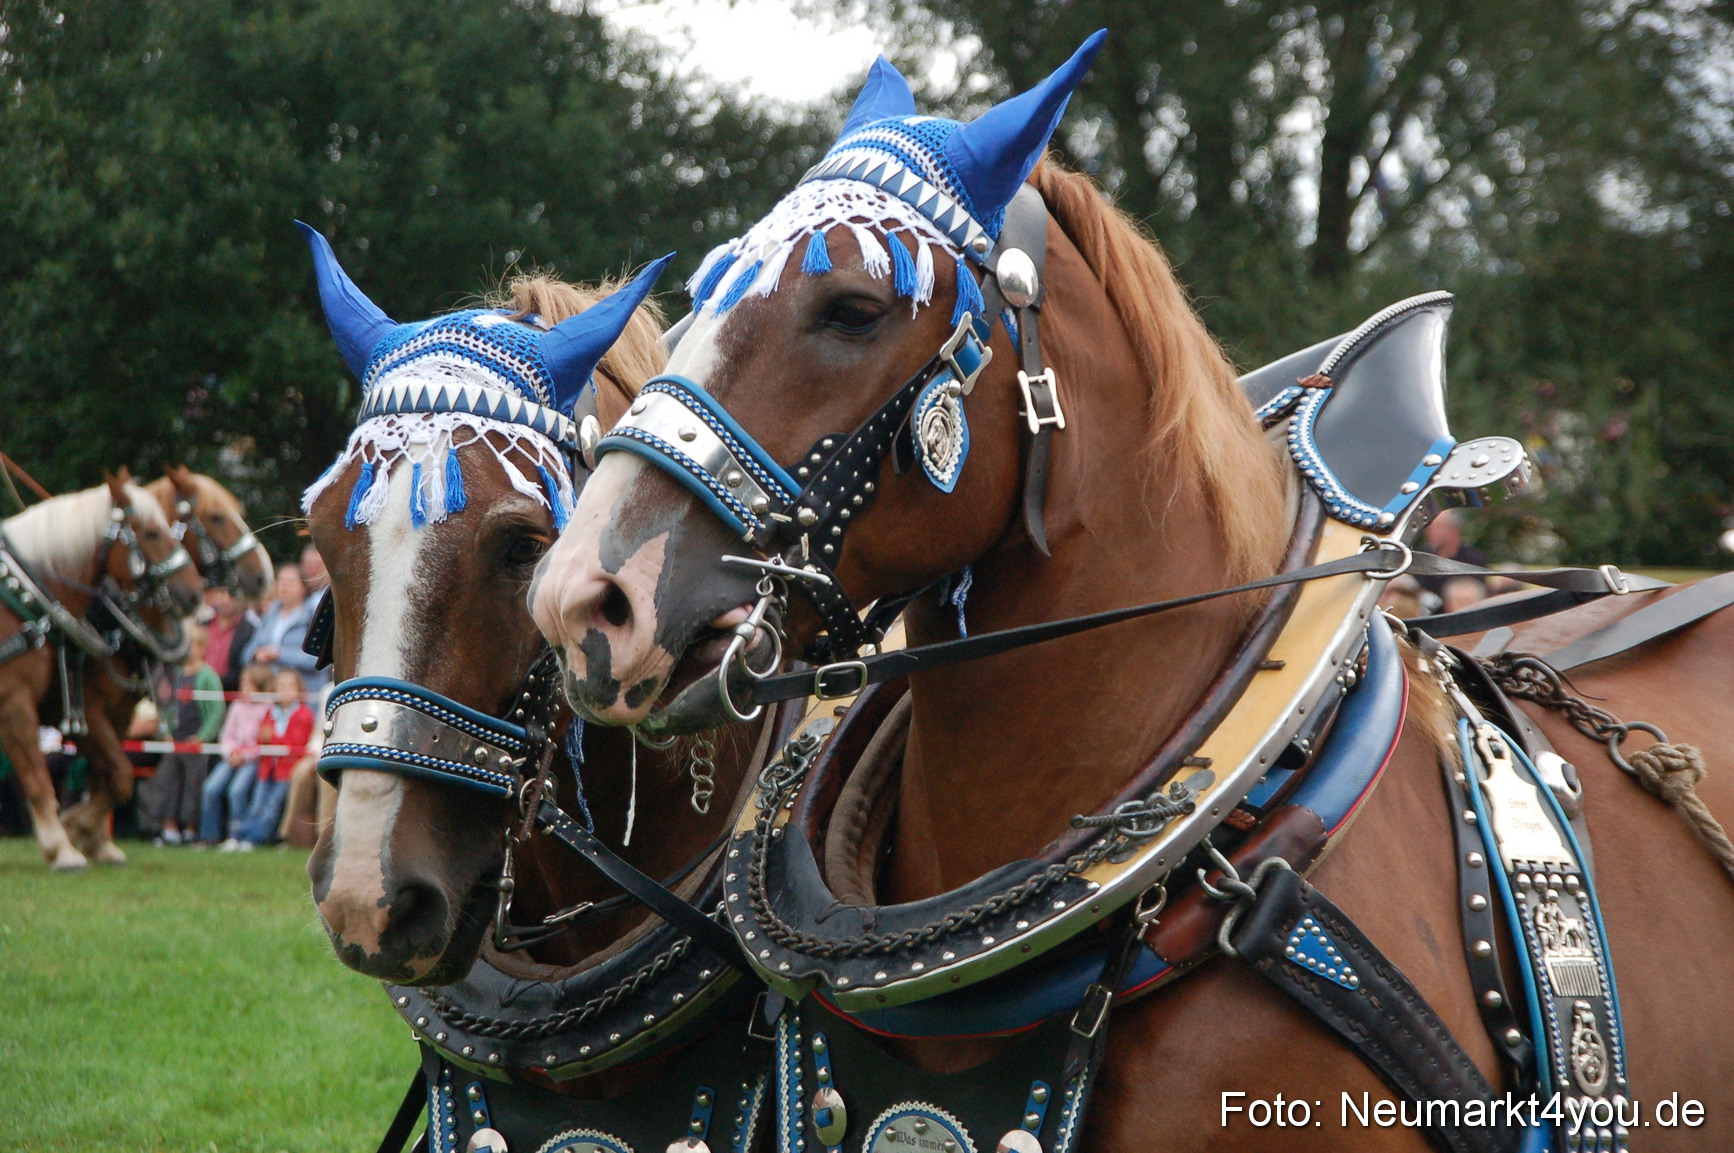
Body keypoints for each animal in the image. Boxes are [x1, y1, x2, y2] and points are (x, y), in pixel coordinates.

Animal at [0, 471, 205, 869]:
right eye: (151, 533)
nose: (193, 593)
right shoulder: (20, 703)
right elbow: (39, 779)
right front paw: (63, 847)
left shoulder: (114, 713)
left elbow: (115, 775)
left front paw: (88, 835)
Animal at [56, 468, 273, 863]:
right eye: (217, 516)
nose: (263, 575)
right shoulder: (88, 710)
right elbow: (116, 773)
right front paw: (78, 829)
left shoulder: (119, 711)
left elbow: (114, 776)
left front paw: (93, 838)